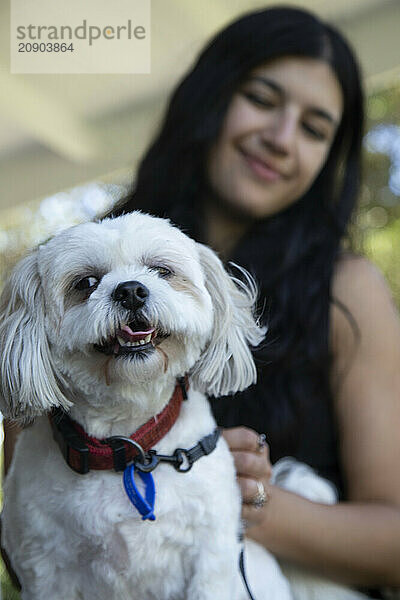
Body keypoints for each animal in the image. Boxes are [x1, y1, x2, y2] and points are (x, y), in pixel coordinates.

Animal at [0, 212, 368, 600]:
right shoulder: (45, 570)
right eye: (86, 282)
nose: (131, 290)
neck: (129, 447)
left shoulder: (212, 556)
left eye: (162, 271)